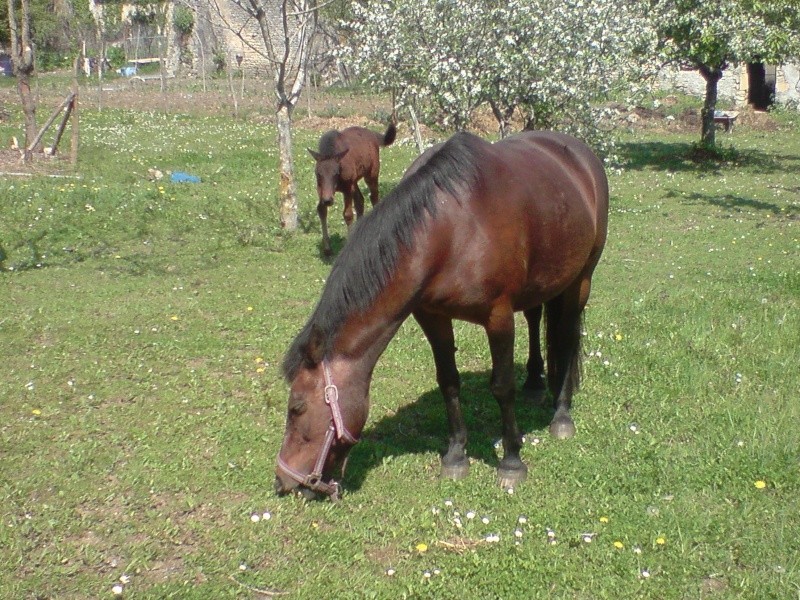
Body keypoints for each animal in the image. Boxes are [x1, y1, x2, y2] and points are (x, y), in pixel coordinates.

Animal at [308, 122, 396, 255]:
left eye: (336, 172)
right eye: (318, 173)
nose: (328, 200)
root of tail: (373, 134)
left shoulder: (347, 188)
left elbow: (348, 214)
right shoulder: (321, 189)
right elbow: (321, 210)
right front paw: (327, 248)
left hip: (371, 174)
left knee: (374, 197)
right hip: (355, 181)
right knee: (360, 200)